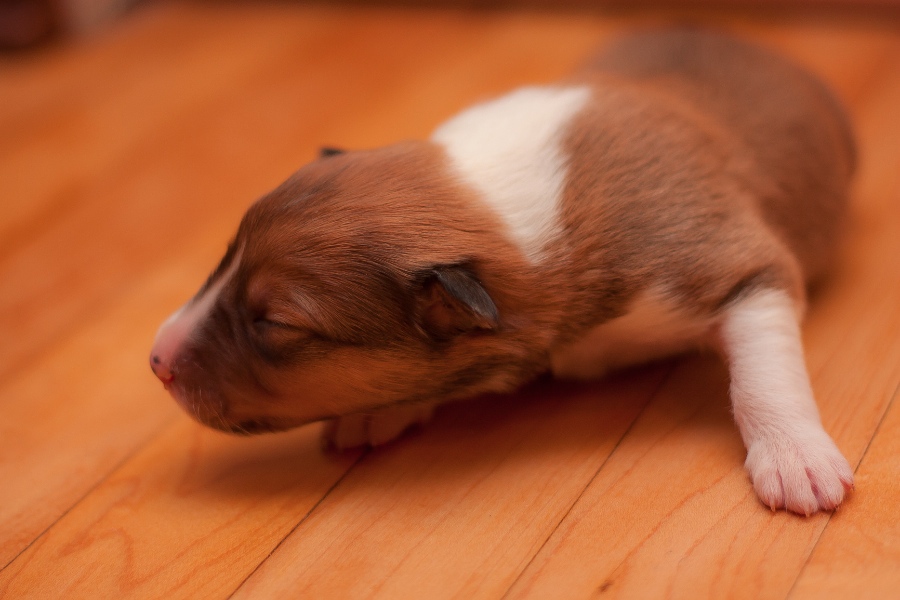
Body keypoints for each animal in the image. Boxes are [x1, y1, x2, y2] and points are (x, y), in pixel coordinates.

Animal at [151, 29, 856, 516]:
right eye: (224, 255)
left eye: (275, 325)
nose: (156, 361)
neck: (511, 202)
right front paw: (383, 410)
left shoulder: (731, 259)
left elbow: (762, 367)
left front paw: (796, 459)